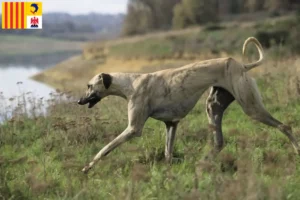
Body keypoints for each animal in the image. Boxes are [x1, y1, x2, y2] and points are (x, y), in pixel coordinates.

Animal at [78, 37, 300, 173]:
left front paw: (87, 167)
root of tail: (242, 65)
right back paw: (203, 164)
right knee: (219, 142)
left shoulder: (133, 129)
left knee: (284, 126)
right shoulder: (171, 124)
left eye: (89, 86)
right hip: (213, 107)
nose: (79, 101)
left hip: (251, 107)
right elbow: (168, 153)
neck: (131, 83)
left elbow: (105, 148)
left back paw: (297, 150)